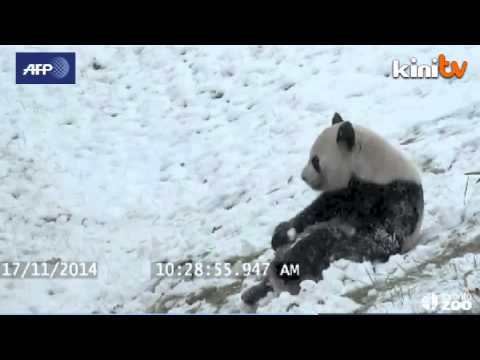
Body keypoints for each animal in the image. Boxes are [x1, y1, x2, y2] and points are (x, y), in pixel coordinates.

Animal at [242, 114, 422, 306]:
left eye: (315, 161)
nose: (303, 177)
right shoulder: (341, 195)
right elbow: (314, 212)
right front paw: (282, 234)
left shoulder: (396, 195)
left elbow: (385, 236)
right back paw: (254, 290)